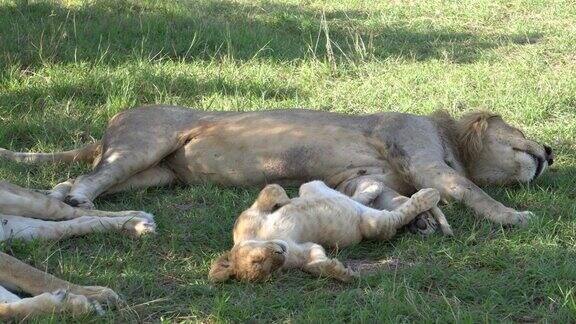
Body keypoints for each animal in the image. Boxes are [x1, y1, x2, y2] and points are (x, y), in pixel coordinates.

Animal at [0, 181, 155, 320]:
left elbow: (36, 276)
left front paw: (97, 295)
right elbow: (7, 310)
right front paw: (75, 305)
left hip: (23, 201)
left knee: (73, 211)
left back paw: (139, 219)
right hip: (15, 228)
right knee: (73, 223)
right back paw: (135, 226)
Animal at [209, 181, 444, 282]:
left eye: (257, 260)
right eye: (269, 271)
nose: (280, 253)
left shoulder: (249, 216)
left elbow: (272, 190)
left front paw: (286, 202)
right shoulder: (303, 250)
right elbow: (314, 263)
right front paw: (340, 271)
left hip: (310, 185)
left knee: (341, 195)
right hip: (373, 224)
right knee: (393, 217)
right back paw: (425, 197)